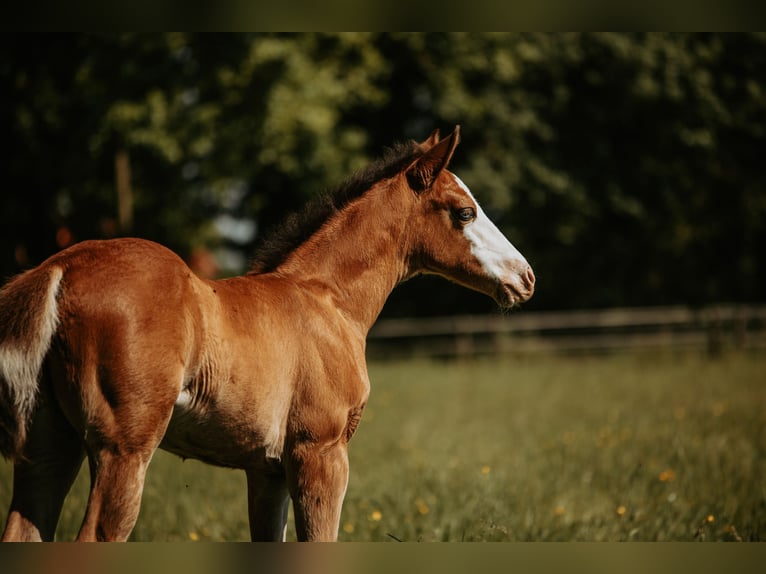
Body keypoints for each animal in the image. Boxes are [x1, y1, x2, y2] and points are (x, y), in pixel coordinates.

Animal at [0, 126, 534, 541]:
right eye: (464, 212)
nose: (525, 277)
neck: (328, 300)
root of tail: (60, 268)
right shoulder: (320, 452)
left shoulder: (267, 470)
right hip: (123, 451)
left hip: (48, 447)